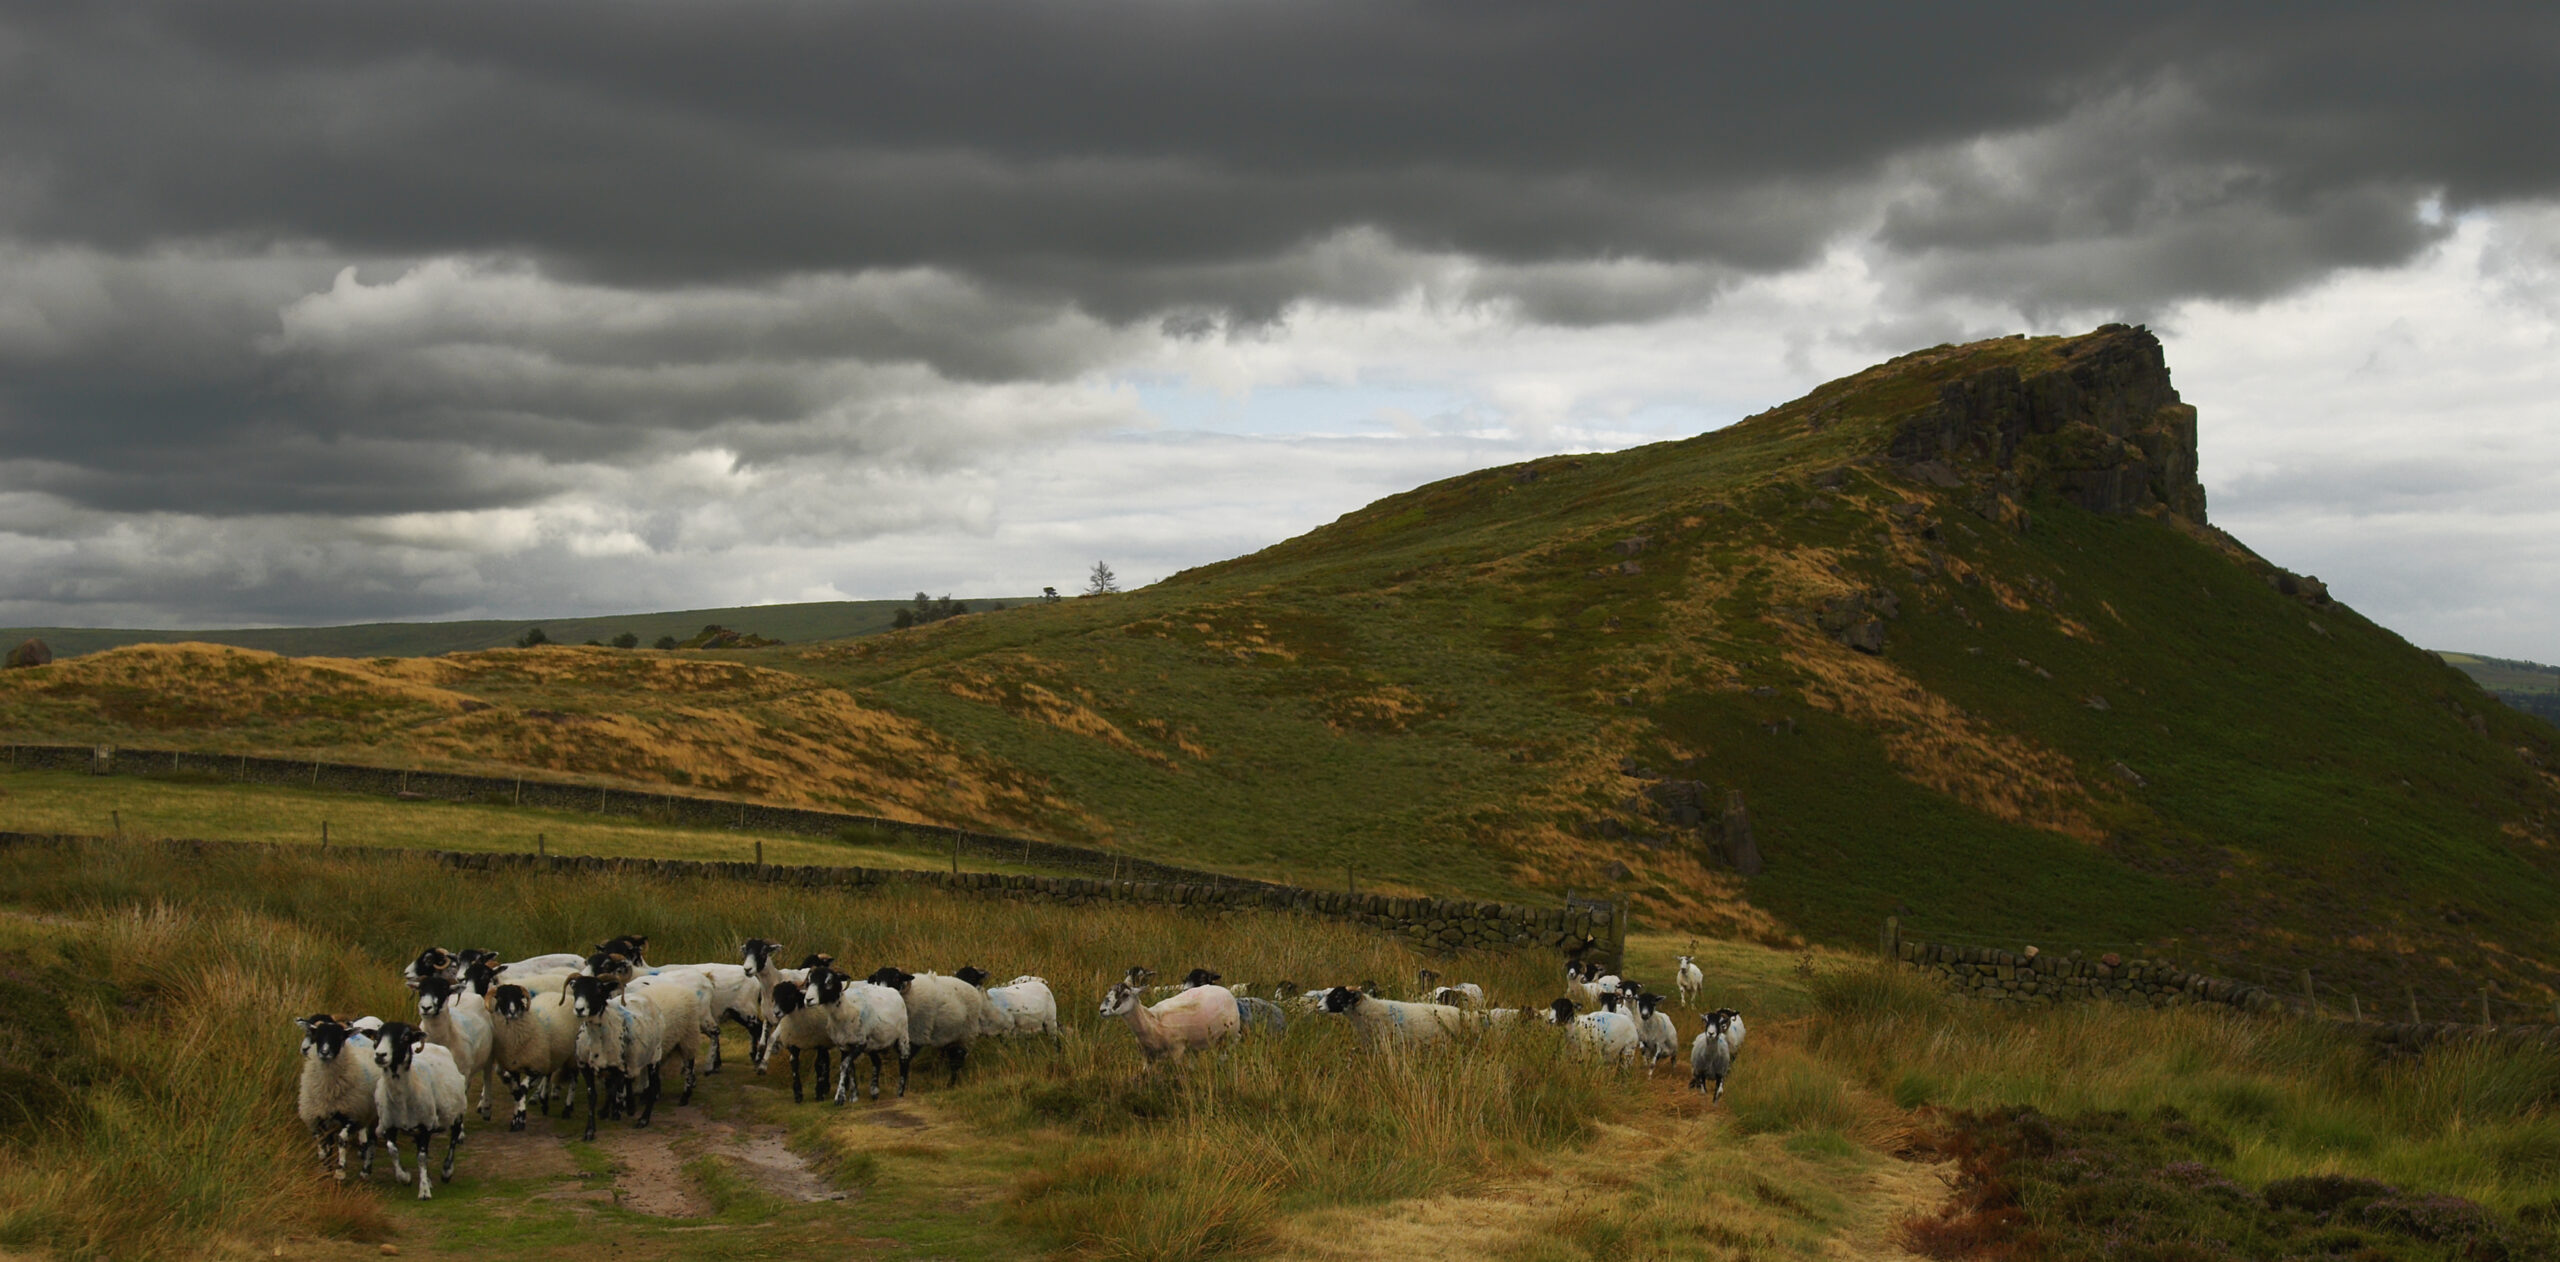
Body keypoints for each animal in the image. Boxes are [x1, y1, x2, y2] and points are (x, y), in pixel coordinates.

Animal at [295, 1013, 378, 1182]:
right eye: (317, 1035)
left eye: (339, 1037)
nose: (324, 1052)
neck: (328, 1091)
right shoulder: (317, 1117)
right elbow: (323, 1143)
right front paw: (326, 1168)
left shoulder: (352, 1114)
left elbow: (342, 1138)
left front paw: (340, 1171)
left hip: (373, 1115)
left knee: (372, 1141)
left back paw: (366, 1170)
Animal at [368, 1018, 468, 1198]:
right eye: (376, 1037)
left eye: (405, 1037)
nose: (380, 1055)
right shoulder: (389, 1125)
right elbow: (392, 1150)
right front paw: (405, 1177)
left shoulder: (425, 1126)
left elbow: (422, 1157)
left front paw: (424, 1191)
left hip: (458, 1112)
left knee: (454, 1138)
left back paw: (447, 1171)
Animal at [412, 967, 496, 1116]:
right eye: (421, 990)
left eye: (444, 990)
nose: (426, 1008)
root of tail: (470, 993)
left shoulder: (462, 1073)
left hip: (489, 1052)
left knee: (487, 1075)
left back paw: (486, 1107)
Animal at [865, 967, 993, 1085]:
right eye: (876, 979)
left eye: (896, 978)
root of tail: (969, 986)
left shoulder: (917, 1036)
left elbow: (905, 1059)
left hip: (965, 1035)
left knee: (957, 1061)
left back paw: (950, 1084)